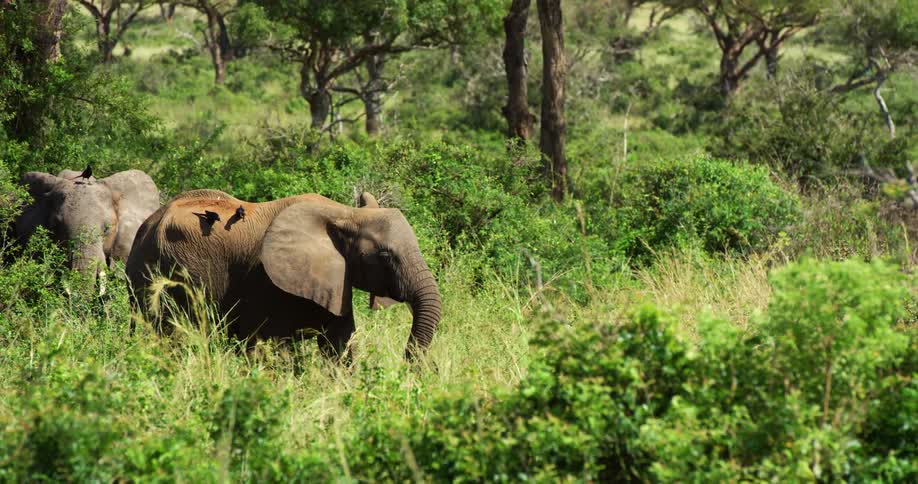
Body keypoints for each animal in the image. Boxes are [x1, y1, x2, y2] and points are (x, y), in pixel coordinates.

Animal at [126, 189, 442, 359]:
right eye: (386, 256)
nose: (409, 363)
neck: (345, 214)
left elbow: (339, 346)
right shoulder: (265, 282)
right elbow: (267, 347)